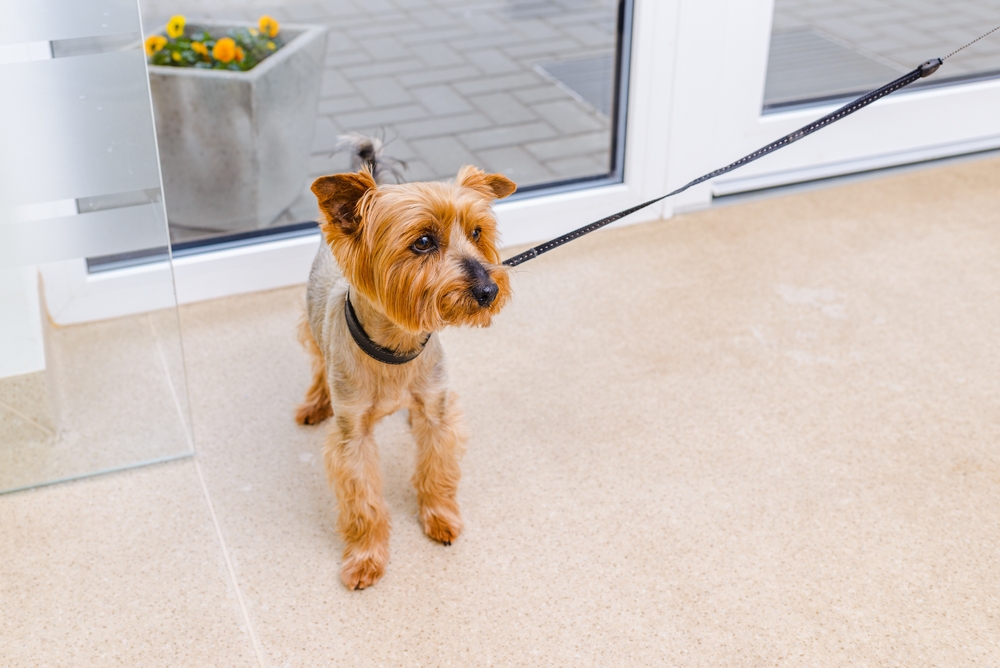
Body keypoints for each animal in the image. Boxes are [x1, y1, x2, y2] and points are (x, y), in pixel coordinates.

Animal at [294, 138, 516, 588]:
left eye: (477, 233)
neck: (397, 348)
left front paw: (441, 518)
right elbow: (363, 501)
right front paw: (365, 558)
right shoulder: (352, 438)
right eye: (424, 242)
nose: (488, 289)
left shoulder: (438, 412)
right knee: (317, 361)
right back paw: (314, 402)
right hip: (312, 323)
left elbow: (437, 469)